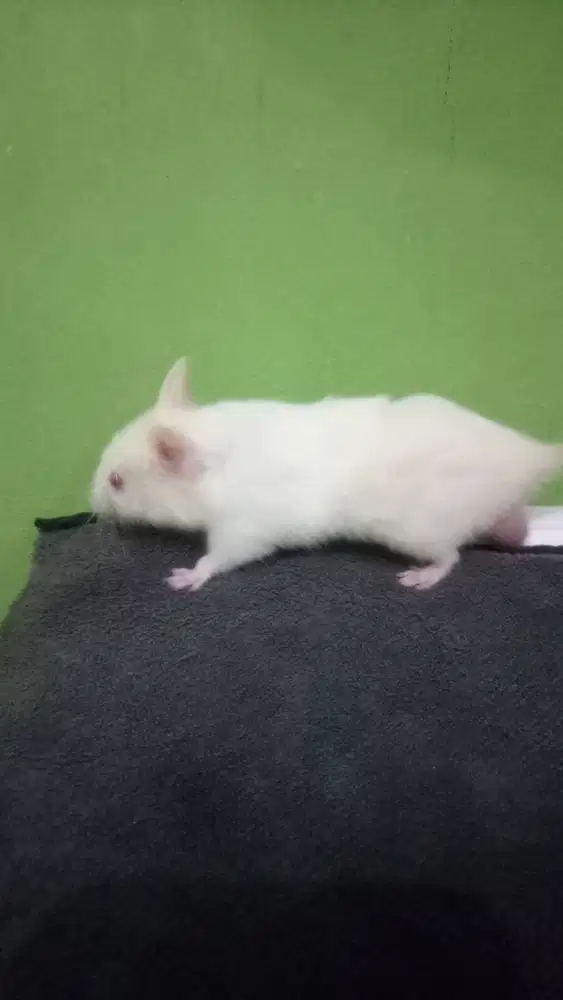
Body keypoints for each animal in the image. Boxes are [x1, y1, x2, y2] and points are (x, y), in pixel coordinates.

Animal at [91, 359, 562, 592]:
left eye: (117, 482)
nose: (94, 504)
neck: (217, 450)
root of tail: (530, 456)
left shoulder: (246, 523)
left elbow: (225, 555)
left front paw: (191, 575)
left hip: (419, 529)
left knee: (451, 556)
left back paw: (425, 575)